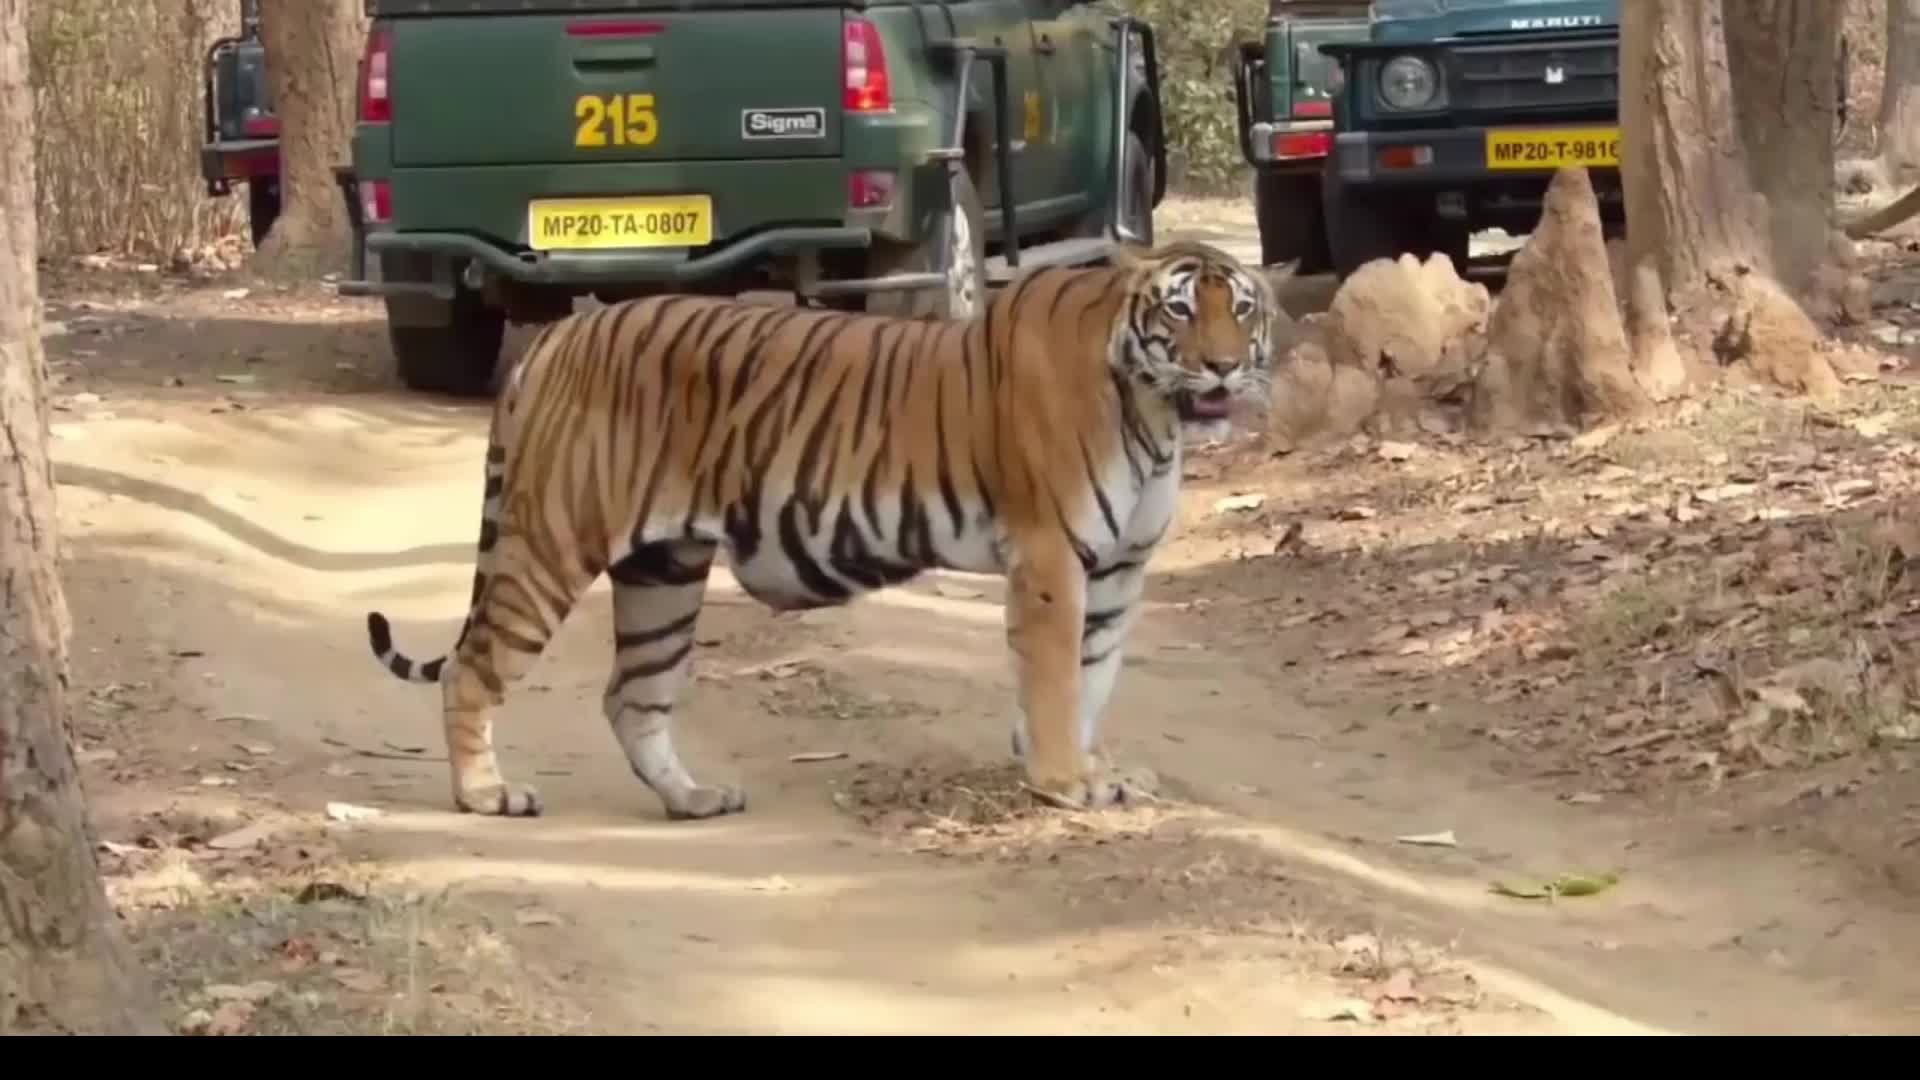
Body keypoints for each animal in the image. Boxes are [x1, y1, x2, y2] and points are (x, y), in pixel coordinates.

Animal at [362, 237, 1290, 814]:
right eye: (1179, 311)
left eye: (1242, 310)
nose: (1222, 366)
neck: (1154, 414)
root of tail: (561, 334)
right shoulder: (1051, 559)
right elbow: (1060, 679)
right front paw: (1063, 780)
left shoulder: (1118, 570)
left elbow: (1093, 679)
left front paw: (1088, 770)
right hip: (554, 541)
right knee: (472, 669)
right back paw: (486, 795)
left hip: (664, 570)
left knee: (632, 696)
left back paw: (692, 799)